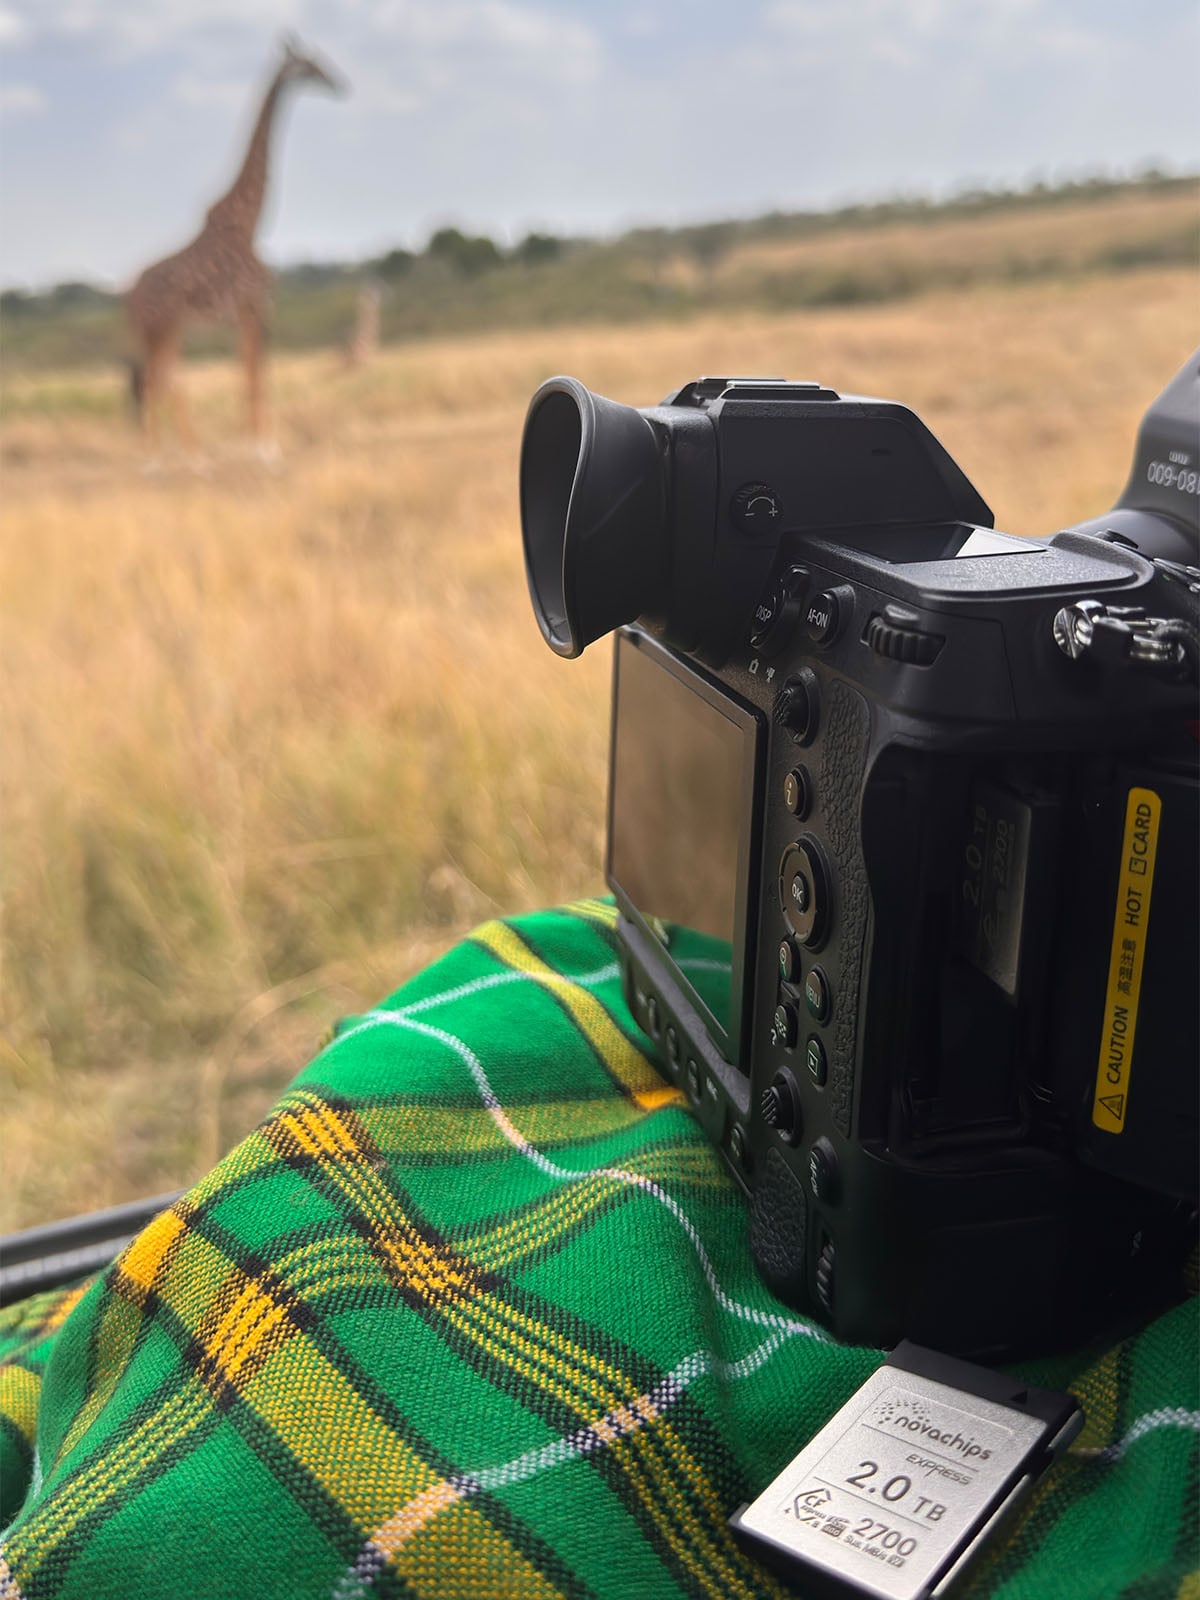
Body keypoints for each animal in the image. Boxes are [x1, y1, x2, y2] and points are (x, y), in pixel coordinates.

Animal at [126, 36, 346, 457]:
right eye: (311, 64)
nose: (341, 83)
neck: (251, 222)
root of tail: (127, 296)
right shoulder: (256, 303)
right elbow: (255, 371)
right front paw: (264, 447)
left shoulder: (246, 312)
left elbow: (248, 369)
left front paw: (259, 443)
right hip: (166, 325)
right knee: (161, 377)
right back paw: (176, 456)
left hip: (157, 329)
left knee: (156, 377)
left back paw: (165, 453)